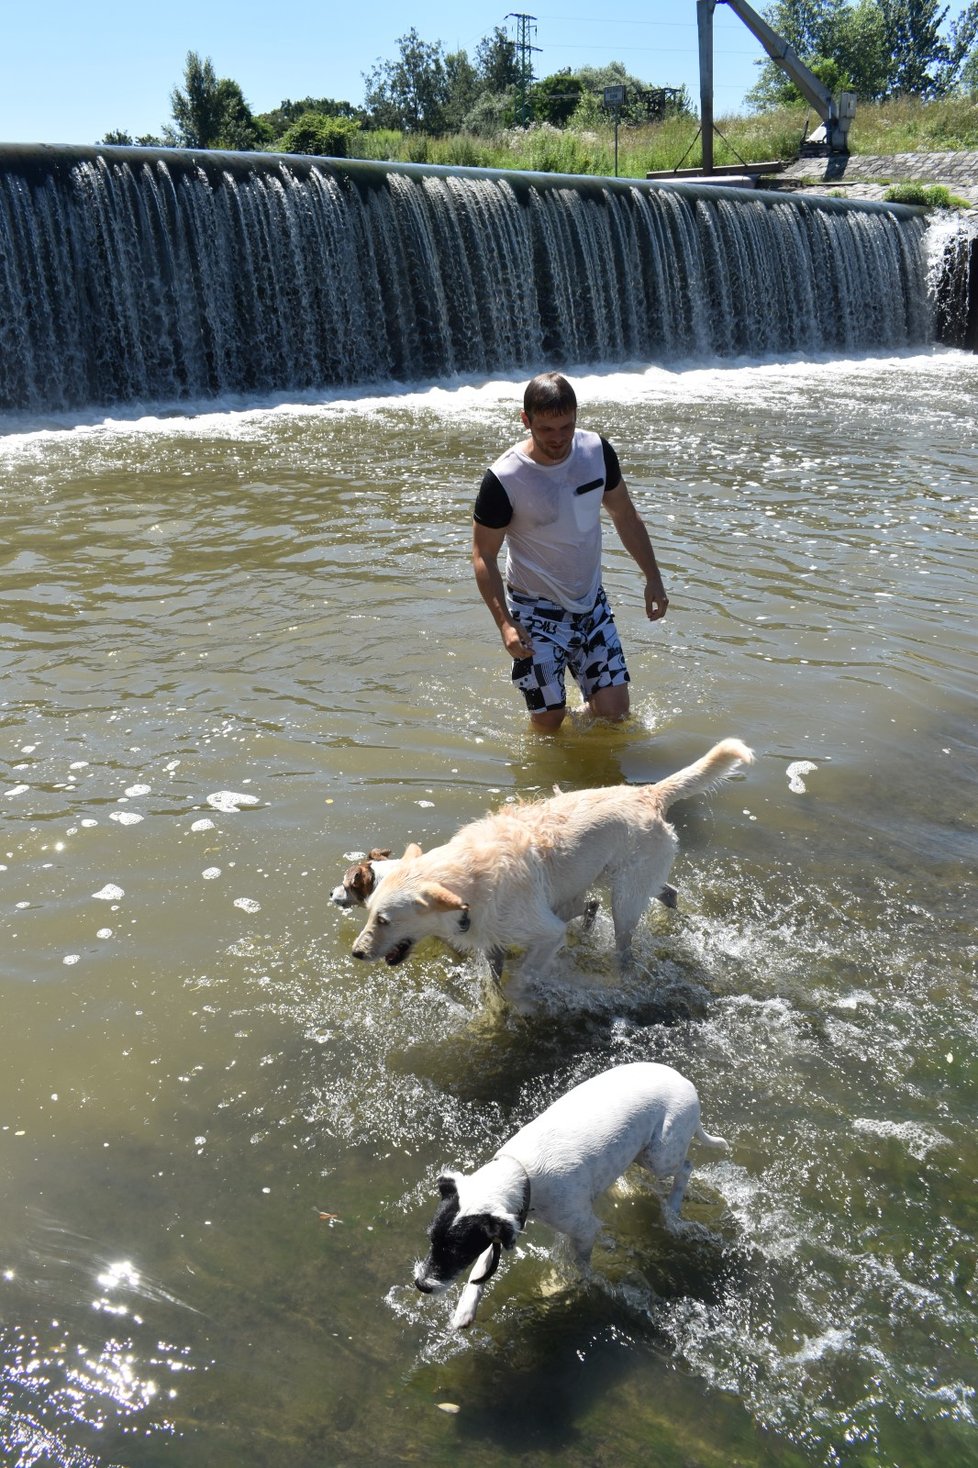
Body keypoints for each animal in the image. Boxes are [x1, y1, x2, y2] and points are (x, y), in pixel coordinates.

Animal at [350, 739, 745, 992]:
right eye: (369, 913)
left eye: (384, 920)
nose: (356, 953)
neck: (469, 883)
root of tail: (647, 792)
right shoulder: (492, 943)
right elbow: (494, 986)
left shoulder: (546, 933)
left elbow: (522, 977)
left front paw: (521, 1003)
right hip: (622, 879)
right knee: (668, 891)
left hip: (624, 897)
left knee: (625, 942)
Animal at [411, 1062, 722, 1327]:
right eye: (431, 1239)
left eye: (458, 1251)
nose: (421, 1285)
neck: (521, 1172)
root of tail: (685, 1081)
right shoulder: (507, 1223)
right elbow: (481, 1268)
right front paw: (465, 1308)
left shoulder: (583, 1228)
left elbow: (580, 1264)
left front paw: (579, 1283)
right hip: (641, 1153)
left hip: (661, 1155)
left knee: (686, 1167)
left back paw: (673, 1209)